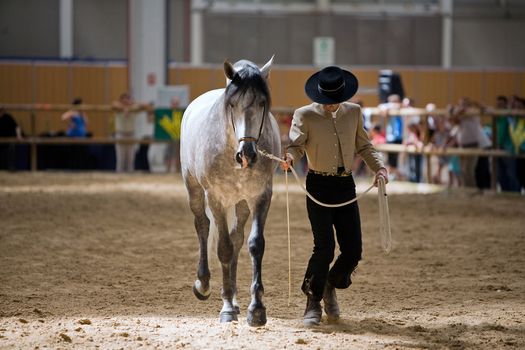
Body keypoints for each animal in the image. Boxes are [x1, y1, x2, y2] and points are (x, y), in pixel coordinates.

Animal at [180, 56, 280, 326]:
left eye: (262, 102)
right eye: (232, 104)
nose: (247, 154)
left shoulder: (261, 197)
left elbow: (255, 245)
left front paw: (256, 309)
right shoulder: (216, 198)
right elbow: (223, 248)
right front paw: (225, 308)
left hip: (241, 203)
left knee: (237, 239)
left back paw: (234, 301)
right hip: (195, 189)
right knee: (203, 226)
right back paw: (203, 284)